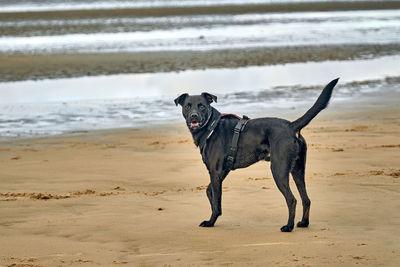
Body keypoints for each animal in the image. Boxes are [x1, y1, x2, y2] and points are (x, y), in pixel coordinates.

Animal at [174, 78, 338, 232]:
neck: (211, 126)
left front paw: (211, 221)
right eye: (188, 106)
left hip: (278, 170)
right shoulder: (222, 171)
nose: (194, 116)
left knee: (292, 200)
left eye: (202, 105)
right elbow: (210, 192)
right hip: (297, 170)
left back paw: (288, 226)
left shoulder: (215, 172)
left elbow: (216, 201)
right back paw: (304, 223)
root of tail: (292, 126)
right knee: (306, 199)